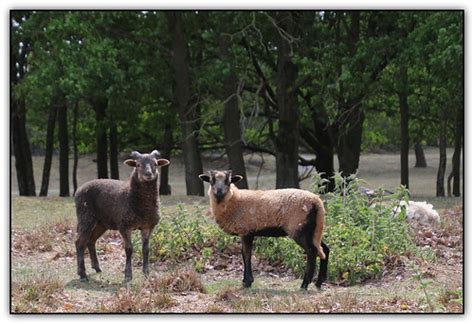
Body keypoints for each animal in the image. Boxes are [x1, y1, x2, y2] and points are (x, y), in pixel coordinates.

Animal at [74, 151, 170, 282]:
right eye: (138, 164)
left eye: (155, 164)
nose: (148, 174)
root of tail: (78, 190)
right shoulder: (124, 225)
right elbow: (129, 248)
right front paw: (128, 275)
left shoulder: (148, 226)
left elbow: (146, 248)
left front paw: (146, 273)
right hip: (85, 216)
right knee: (79, 243)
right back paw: (82, 274)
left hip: (101, 222)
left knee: (90, 241)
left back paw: (97, 268)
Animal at [199, 171, 330, 290]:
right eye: (211, 181)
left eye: (228, 181)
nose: (219, 192)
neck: (234, 201)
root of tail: (317, 202)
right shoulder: (247, 233)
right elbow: (244, 254)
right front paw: (245, 281)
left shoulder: (246, 232)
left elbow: (246, 254)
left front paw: (247, 282)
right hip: (313, 231)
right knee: (324, 249)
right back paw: (319, 283)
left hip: (299, 230)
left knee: (312, 252)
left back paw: (305, 284)